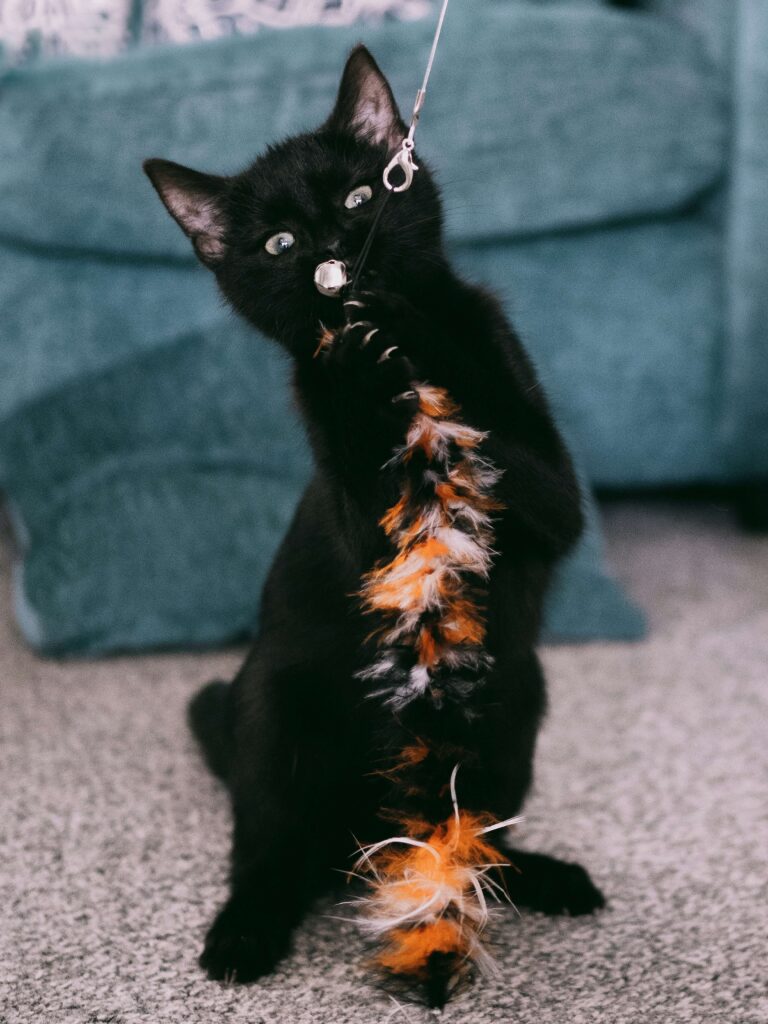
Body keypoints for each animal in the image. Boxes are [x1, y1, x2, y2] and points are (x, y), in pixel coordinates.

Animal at [141, 46, 606, 991]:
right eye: (280, 243)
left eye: (363, 195)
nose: (335, 252)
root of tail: (370, 839)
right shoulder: (363, 530)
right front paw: (361, 364)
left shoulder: (555, 493)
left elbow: (498, 432)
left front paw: (400, 329)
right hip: (269, 713)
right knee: (271, 852)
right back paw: (245, 933)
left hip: (516, 702)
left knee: (476, 837)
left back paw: (530, 878)